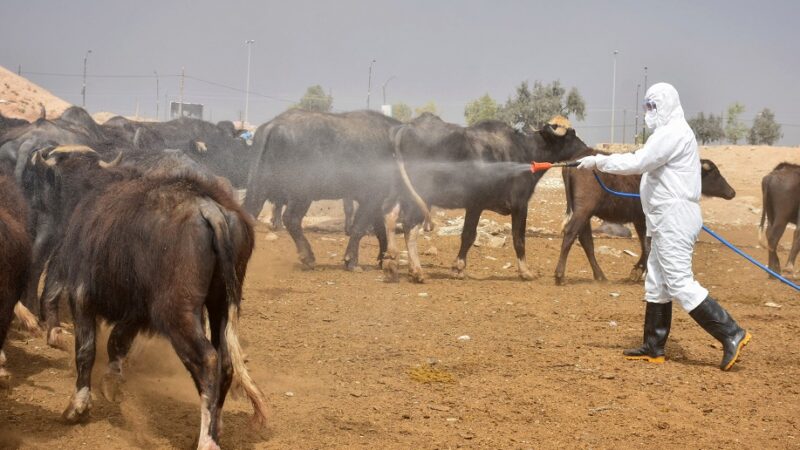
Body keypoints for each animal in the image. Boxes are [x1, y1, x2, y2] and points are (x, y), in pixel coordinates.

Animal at [29, 146, 268, 448]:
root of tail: (209, 208)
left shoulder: (82, 296)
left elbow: (86, 350)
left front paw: (78, 406)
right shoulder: (137, 311)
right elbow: (118, 342)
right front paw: (111, 383)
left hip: (176, 313)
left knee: (208, 361)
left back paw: (207, 438)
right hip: (220, 306)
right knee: (225, 362)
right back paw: (217, 425)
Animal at [244, 109, 406, 270]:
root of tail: (274, 125)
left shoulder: (376, 200)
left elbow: (380, 230)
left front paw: (382, 259)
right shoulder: (371, 197)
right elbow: (359, 228)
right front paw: (351, 261)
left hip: (258, 187)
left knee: (250, 213)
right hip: (302, 194)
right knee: (291, 219)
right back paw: (308, 257)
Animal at [382, 113, 588, 282]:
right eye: (571, 135)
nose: (586, 149)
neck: (524, 152)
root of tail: (406, 128)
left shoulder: (477, 206)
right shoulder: (512, 205)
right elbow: (509, 238)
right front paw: (525, 272)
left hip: (401, 192)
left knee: (390, 216)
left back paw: (391, 261)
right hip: (421, 197)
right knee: (409, 226)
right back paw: (416, 271)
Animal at [556, 151, 736, 284]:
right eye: (715, 172)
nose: (732, 192)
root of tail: (572, 164)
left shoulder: (640, 220)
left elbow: (645, 245)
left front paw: (637, 272)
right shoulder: (647, 219)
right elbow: (649, 246)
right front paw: (640, 272)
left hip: (585, 214)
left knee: (586, 241)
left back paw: (600, 276)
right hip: (583, 210)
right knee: (571, 233)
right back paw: (559, 275)